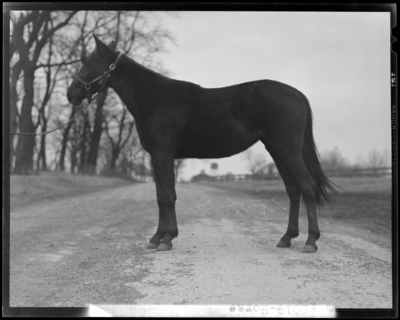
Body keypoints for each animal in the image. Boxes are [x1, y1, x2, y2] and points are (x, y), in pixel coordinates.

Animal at [67, 35, 336, 254]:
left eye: (88, 62)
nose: (71, 94)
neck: (154, 98)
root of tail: (297, 94)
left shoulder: (163, 154)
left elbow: (167, 196)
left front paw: (166, 239)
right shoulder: (157, 156)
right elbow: (160, 195)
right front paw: (157, 238)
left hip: (288, 150)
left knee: (307, 187)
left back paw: (311, 241)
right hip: (277, 150)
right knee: (293, 190)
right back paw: (287, 238)